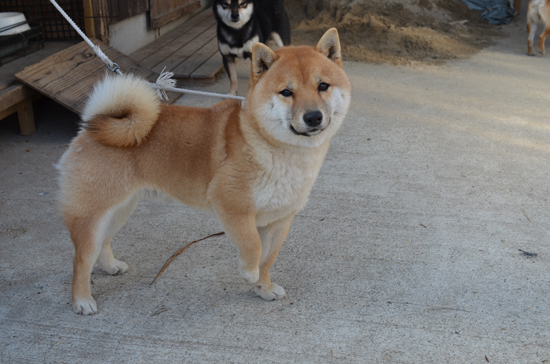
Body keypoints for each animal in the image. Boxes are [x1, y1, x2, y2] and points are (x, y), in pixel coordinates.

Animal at [58, 28, 354, 314]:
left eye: (323, 86)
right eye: (286, 92)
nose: (313, 117)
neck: (275, 148)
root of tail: (91, 125)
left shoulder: (280, 220)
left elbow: (268, 259)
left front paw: (264, 288)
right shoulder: (232, 206)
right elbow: (253, 246)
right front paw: (249, 272)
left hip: (119, 209)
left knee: (103, 243)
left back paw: (110, 266)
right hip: (92, 214)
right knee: (81, 259)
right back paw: (82, 300)